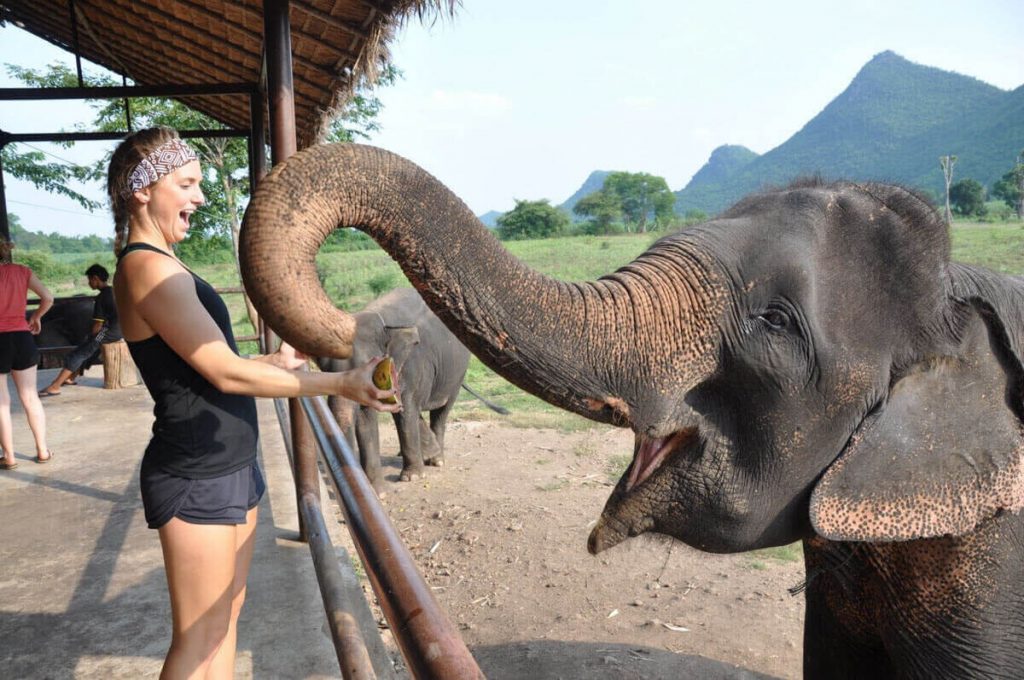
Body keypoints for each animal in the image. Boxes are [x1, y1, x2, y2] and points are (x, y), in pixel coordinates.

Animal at [311, 284, 503, 489]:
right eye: (325, 370)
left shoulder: (412, 364)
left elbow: (405, 408)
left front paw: (412, 477)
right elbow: (366, 417)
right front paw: (377, 489)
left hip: (457, 374)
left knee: (441, 411)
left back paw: (436, 460)